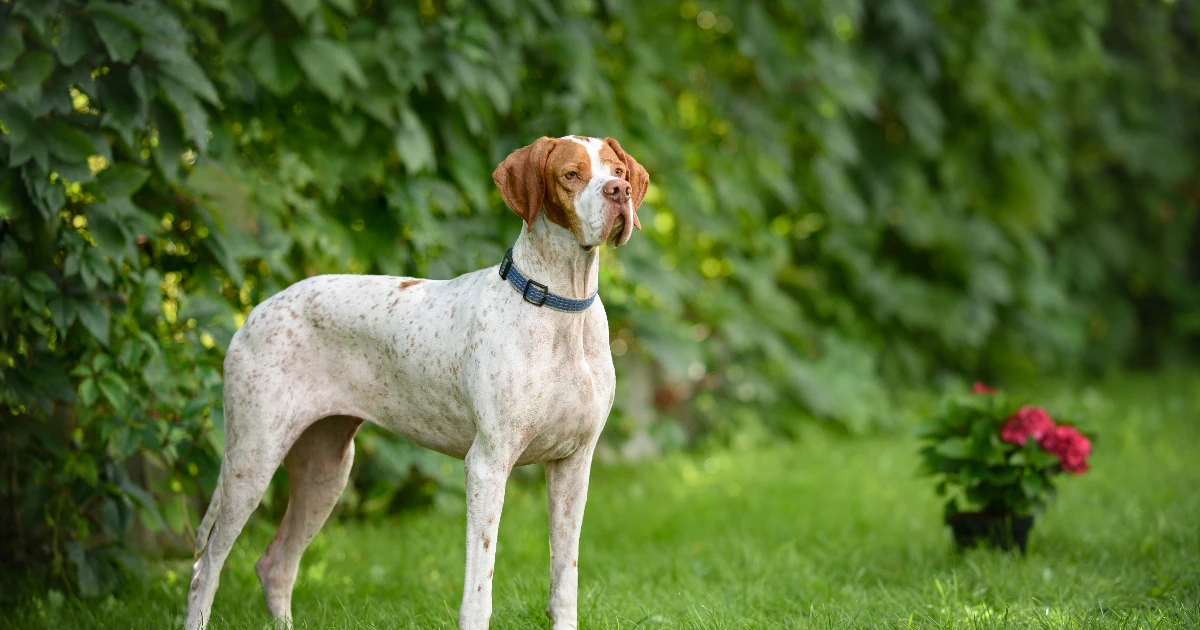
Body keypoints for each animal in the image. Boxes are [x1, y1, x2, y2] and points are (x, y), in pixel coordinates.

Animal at [181, 135, 648, 624]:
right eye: (571, 175)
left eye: (618, 171)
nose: (618, 192)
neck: (561, 307)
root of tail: (254, 313)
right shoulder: (488, 464)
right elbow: (479, 587)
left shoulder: (573, 465)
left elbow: (564, 578)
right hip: (252, 461)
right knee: (205, 568)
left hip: (325, 469)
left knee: (275, 564)